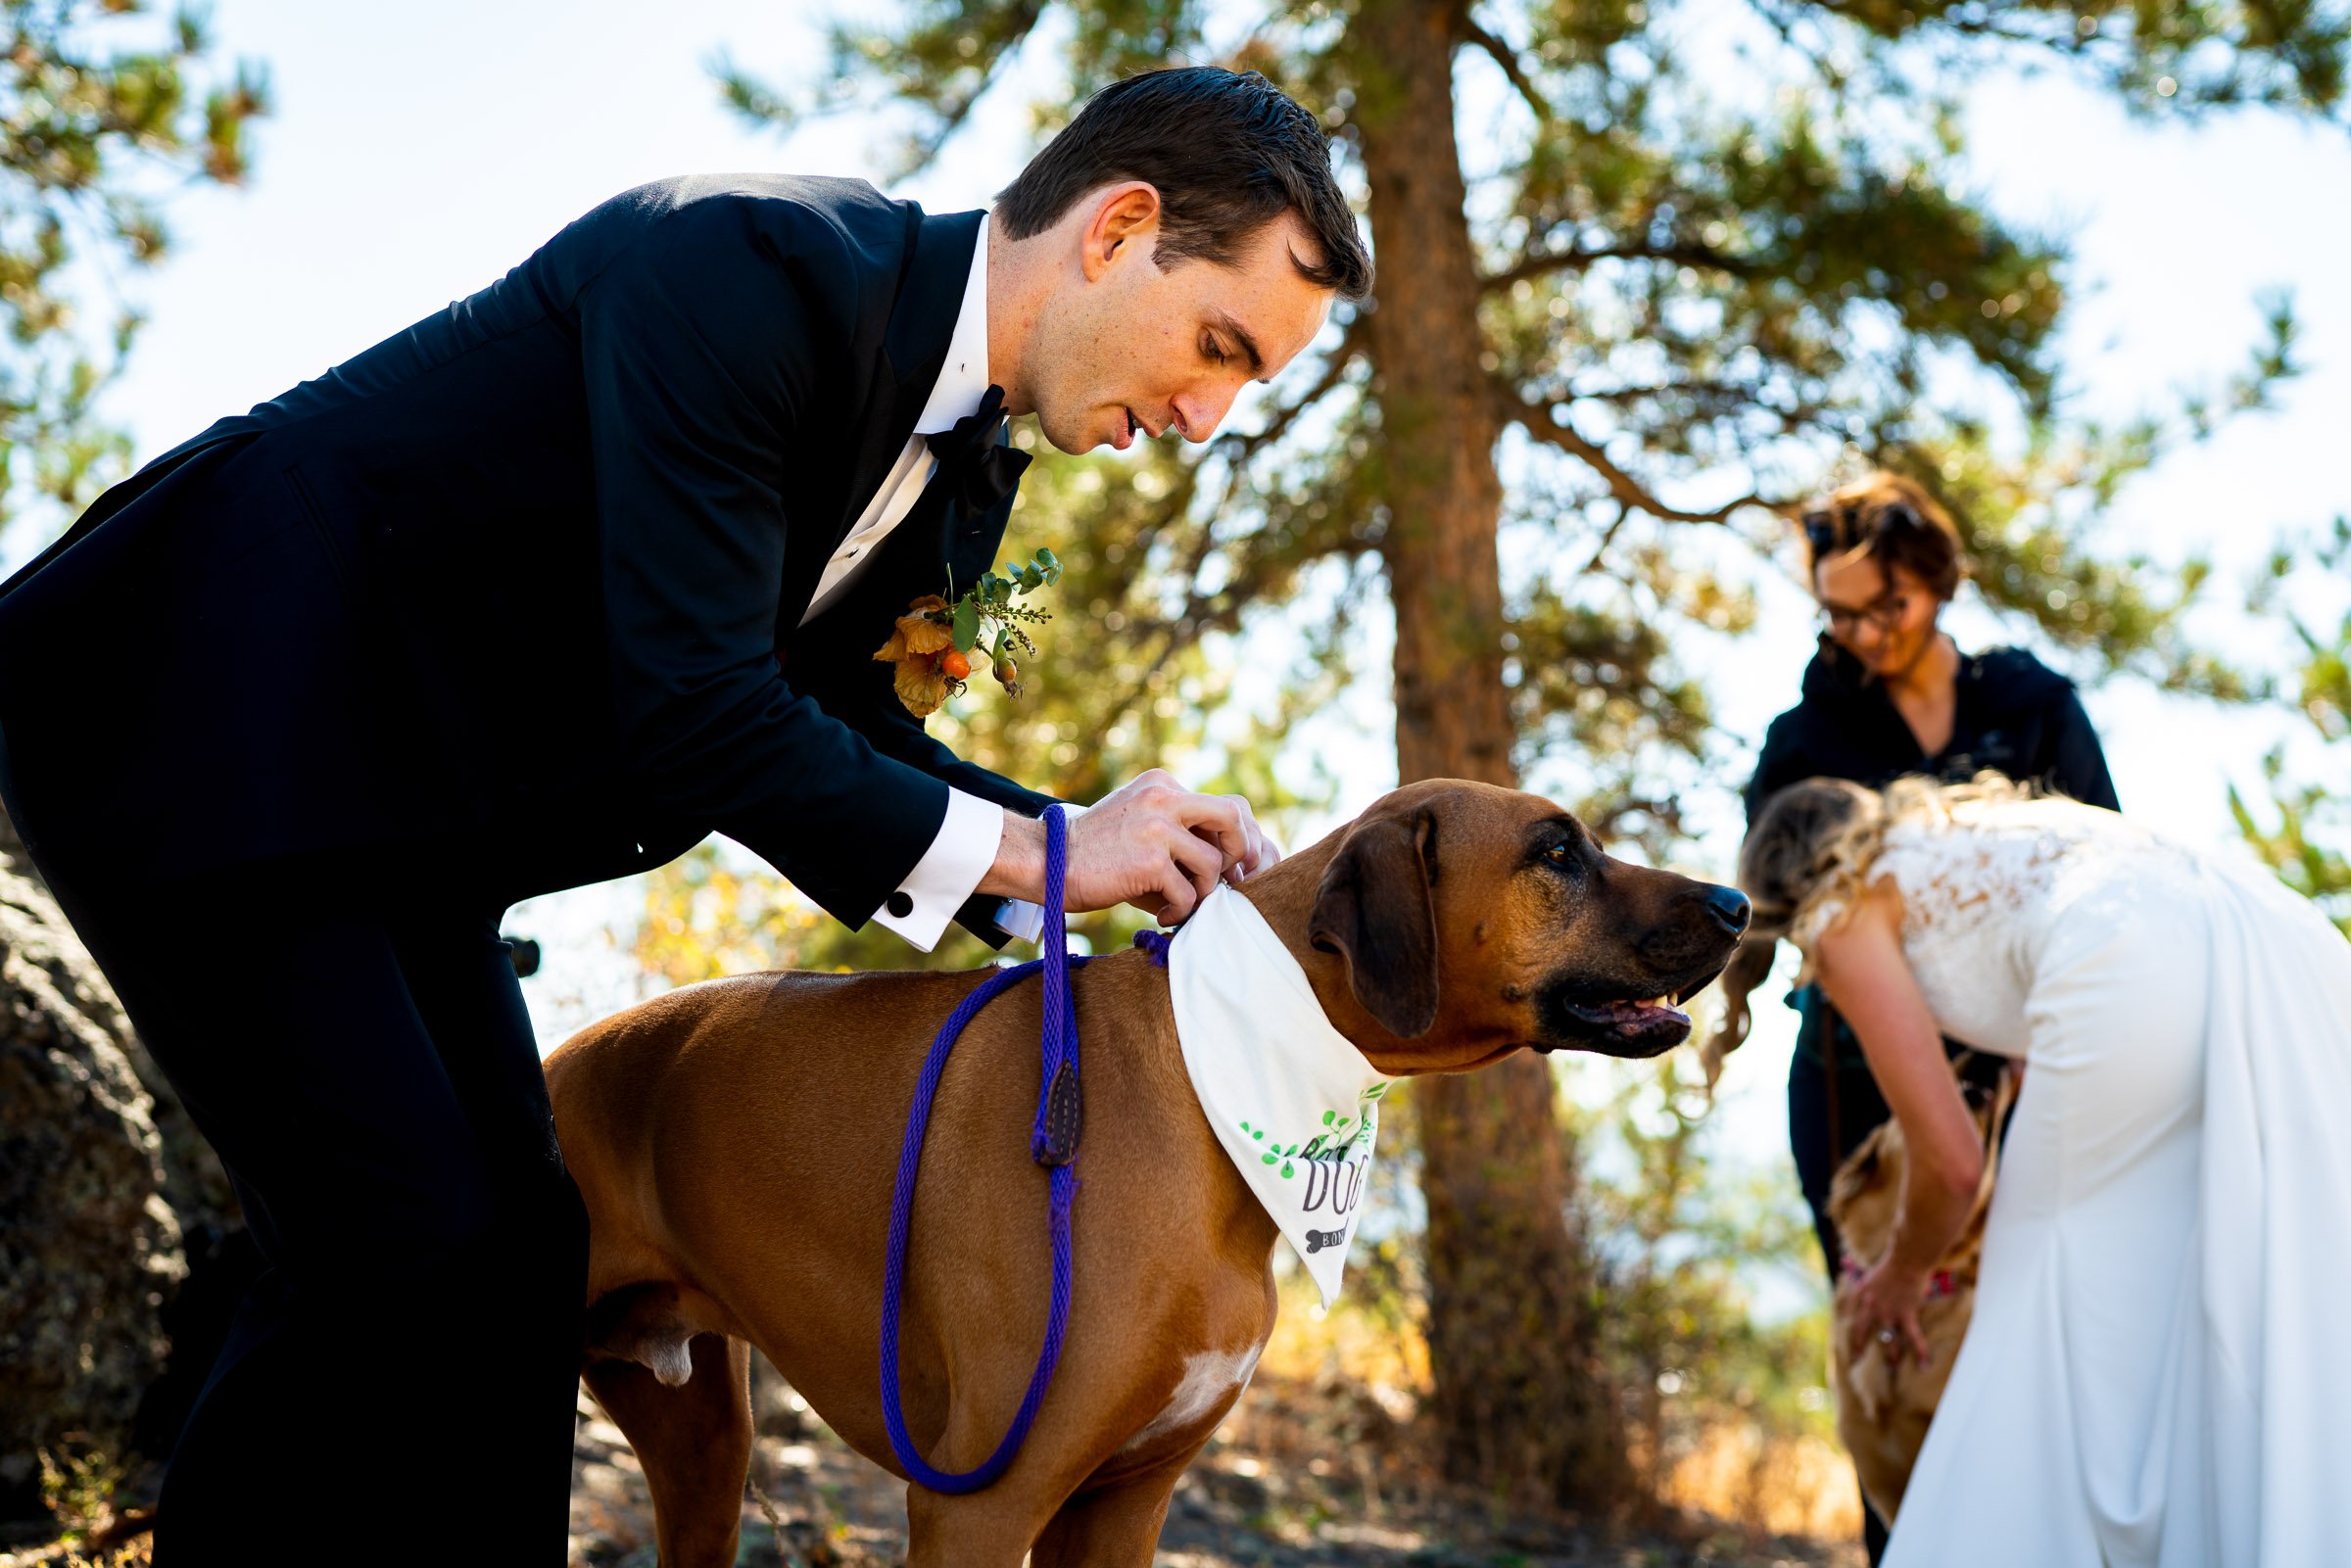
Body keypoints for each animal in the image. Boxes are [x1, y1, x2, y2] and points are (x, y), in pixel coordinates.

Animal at [538, 780, 1749, 1560]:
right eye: (1557, 852)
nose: (1738, 904)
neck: (1214, 1077)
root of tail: (564, 1057)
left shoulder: (1124, 1502)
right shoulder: (981, 1502)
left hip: (705, 1453)